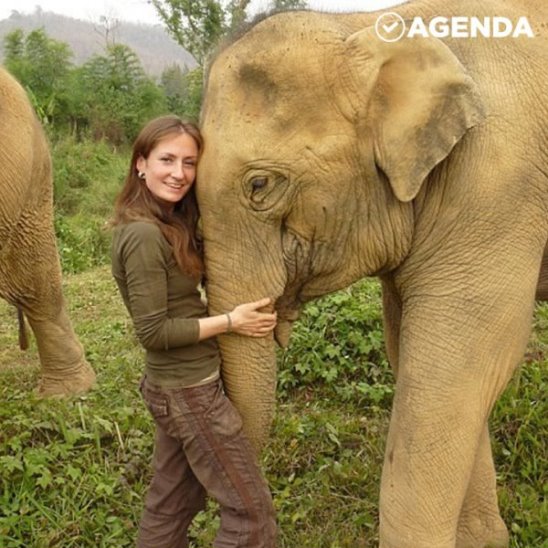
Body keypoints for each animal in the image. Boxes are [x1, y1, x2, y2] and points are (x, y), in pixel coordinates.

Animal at [197, 1, 548, 548]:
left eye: (259, 185)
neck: (370, 23)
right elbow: (417, 355)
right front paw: (485, 541)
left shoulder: (501, 183)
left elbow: (455, 369)